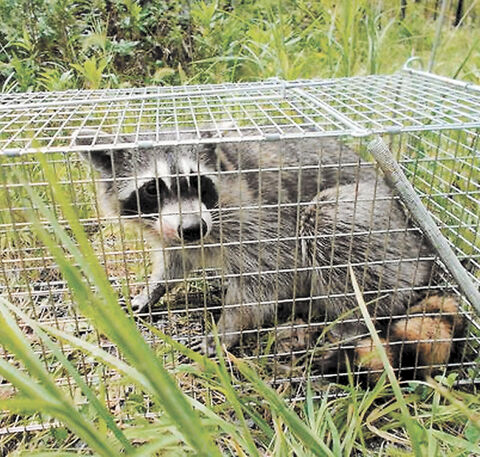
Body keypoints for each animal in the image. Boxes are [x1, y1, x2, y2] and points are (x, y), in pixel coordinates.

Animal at [74, 129, 458, 366]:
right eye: (153, 188)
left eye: (197, 182)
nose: (193, 228)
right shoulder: (171, 232)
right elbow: (174, 260)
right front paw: (154, 288)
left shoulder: (257, 216)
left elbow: (264, 279)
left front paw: (227, 326)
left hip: (381, 227)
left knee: (326, 223)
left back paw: (352, 321)